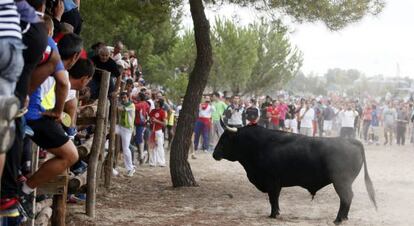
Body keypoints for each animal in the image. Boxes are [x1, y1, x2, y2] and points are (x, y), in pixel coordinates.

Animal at [213, 122, 378, 224]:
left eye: (224, 139)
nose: (214, 154)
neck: (257, 145)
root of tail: (351, 141)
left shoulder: (272, 182)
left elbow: (273, 199)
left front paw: (273, 215)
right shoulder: (276, 183)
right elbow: (275, 199)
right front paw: (276, 213)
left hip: (341, 182)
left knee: (346, 197)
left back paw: (338, 219)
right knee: (347, 198)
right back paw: (344, 218)